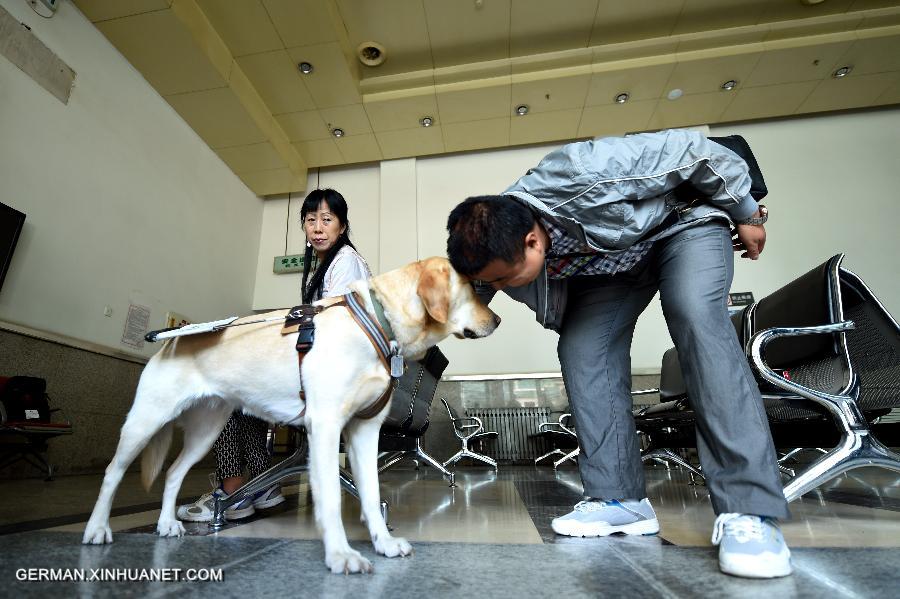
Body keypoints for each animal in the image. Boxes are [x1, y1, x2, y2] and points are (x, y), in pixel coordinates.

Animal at [81, 255, 500, 576]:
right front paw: (340, 555)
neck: (378, 323)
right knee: (113, 473)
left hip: (206, 431)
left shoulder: (365, 433)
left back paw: (168, 523)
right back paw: (97, 529)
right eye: (472, 287)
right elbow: (330, 498)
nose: (497, 321)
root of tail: (170, 340)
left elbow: (370, 495)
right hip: (145, 421)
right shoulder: (326, 427)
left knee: (172, 473)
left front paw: (382, 542)